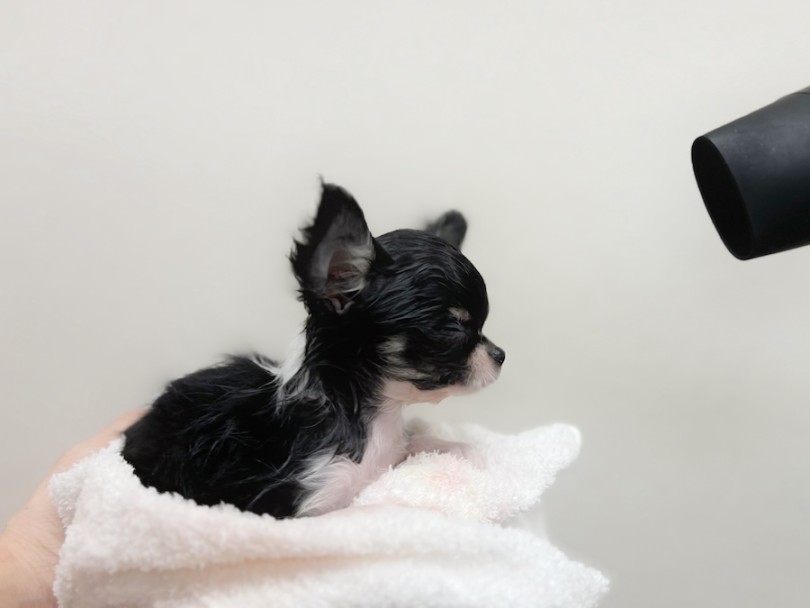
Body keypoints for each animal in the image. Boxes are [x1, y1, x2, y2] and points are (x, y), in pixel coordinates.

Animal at [122, 183, 505, 518]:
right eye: (453, 327)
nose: (501, 356)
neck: (376, 420)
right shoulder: (309, 501)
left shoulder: (386, 458)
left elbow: (416, 445)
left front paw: (464, 451)